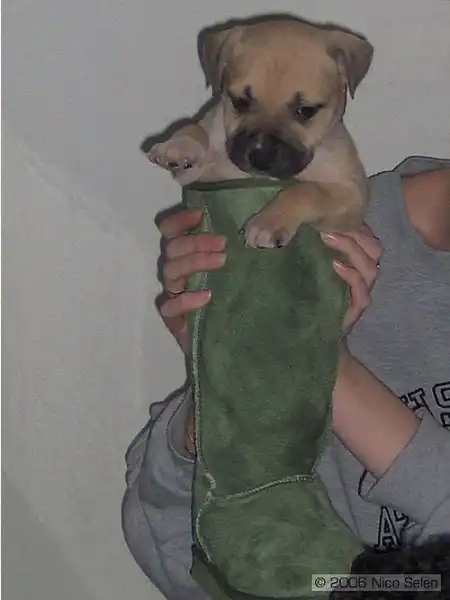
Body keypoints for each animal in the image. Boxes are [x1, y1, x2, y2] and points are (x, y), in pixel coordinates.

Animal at [146, 14, 373, 248]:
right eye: (239, 101)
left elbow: (307, 191)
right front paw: (177, 148)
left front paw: (269, 223)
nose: (261, 156)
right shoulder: (197, 179)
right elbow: (195, 129)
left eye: (306, 110)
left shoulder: (352, 195)